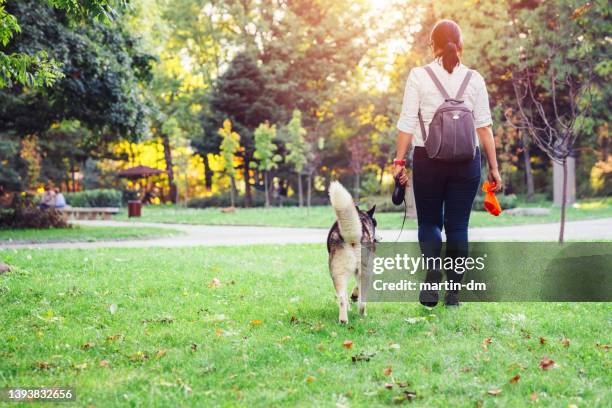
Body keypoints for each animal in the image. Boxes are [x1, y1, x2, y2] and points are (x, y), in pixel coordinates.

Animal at [328, 183, 376, 324]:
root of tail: (353, 238)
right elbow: (356, 287)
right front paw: (354, 296)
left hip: (338, 274)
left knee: (342, 299)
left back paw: (344, 320)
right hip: (365, 272)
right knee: (361, 300)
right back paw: (361, 314)